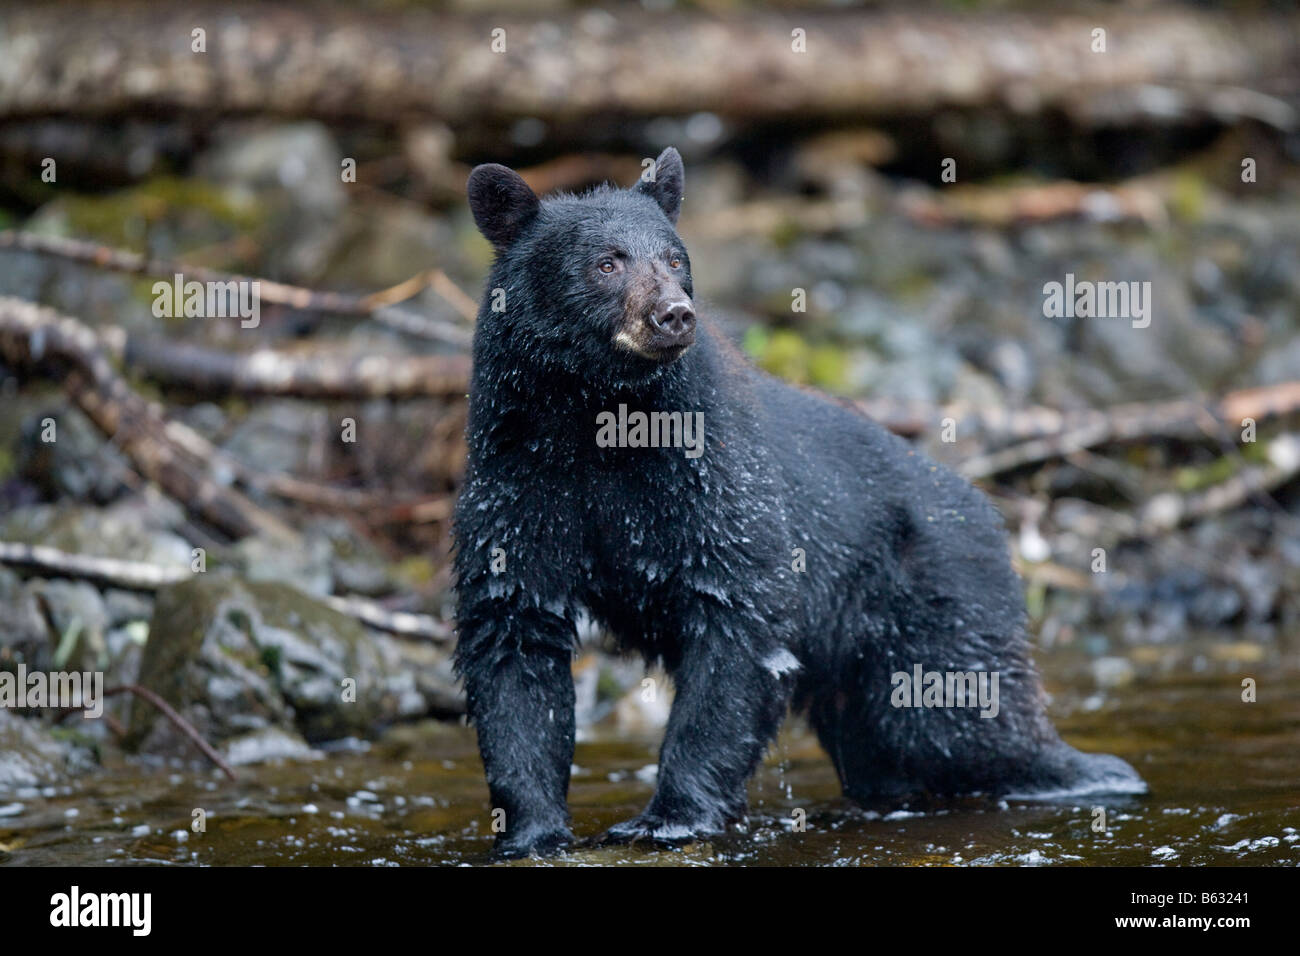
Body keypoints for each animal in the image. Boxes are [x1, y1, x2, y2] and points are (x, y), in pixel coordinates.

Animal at [453, 147, 1145, 860]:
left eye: (674, 257)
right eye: (606, 262)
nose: (674, 313)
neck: (598, 420)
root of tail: (991, 519)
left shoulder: (711, 478)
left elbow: (739, 620)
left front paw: (669, 817)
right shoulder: (517, 486)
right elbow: (513, 639)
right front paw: (530, 831)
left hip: (935, 605)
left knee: (966, 723)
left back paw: (1087, 770)